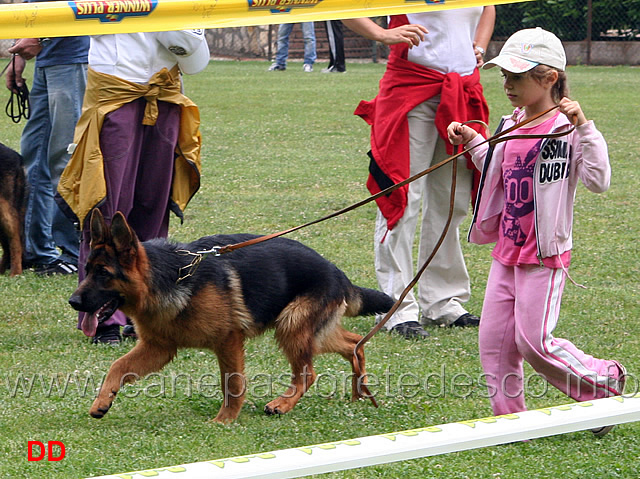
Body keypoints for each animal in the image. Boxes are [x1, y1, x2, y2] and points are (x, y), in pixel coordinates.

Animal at [67, 210, 392, 424]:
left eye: (103, 274)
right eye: (87, 269)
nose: (73, 302)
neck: (169, 277)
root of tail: (337, 272)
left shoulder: (228, 341)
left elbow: (232, 385)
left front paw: (224, 420)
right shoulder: (158, 348)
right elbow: (117, 366)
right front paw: (102, 401)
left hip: (291, 326)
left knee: (308, 372)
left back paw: (283, 404)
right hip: (307, 330)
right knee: (353, 343)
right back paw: (359, 394)